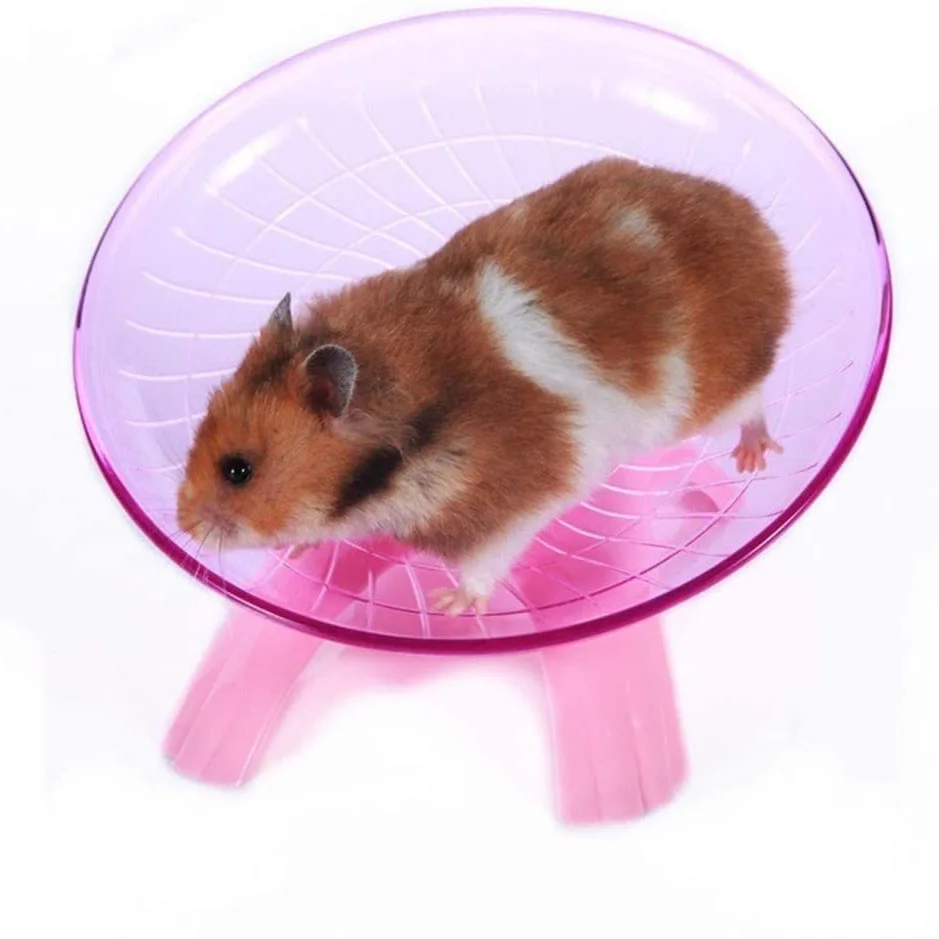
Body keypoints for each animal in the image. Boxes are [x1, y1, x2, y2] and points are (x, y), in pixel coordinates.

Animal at [177, 157, 791, 615]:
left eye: (238, 470)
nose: (182, 525)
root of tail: (765, 238)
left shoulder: (511, 511)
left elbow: (484, 565)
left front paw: (447, 605)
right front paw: (303, 548)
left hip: (716, 395)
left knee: (754, 404)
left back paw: (754, 457)